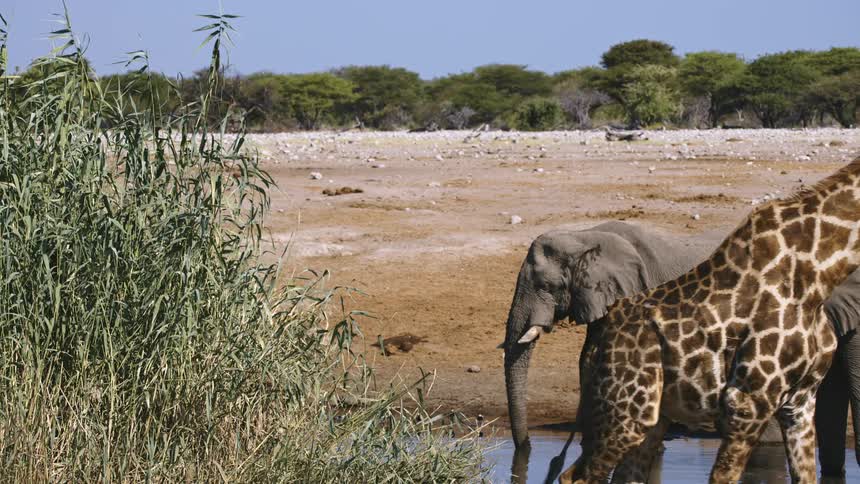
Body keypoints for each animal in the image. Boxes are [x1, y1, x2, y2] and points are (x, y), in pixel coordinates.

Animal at [559, 156, 860, 484]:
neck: (821, 273)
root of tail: (595, 342)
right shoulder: (748, 400)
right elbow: (723, 475)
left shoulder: (800, 403)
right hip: (626, 412)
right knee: (576, 476)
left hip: (649, 415)